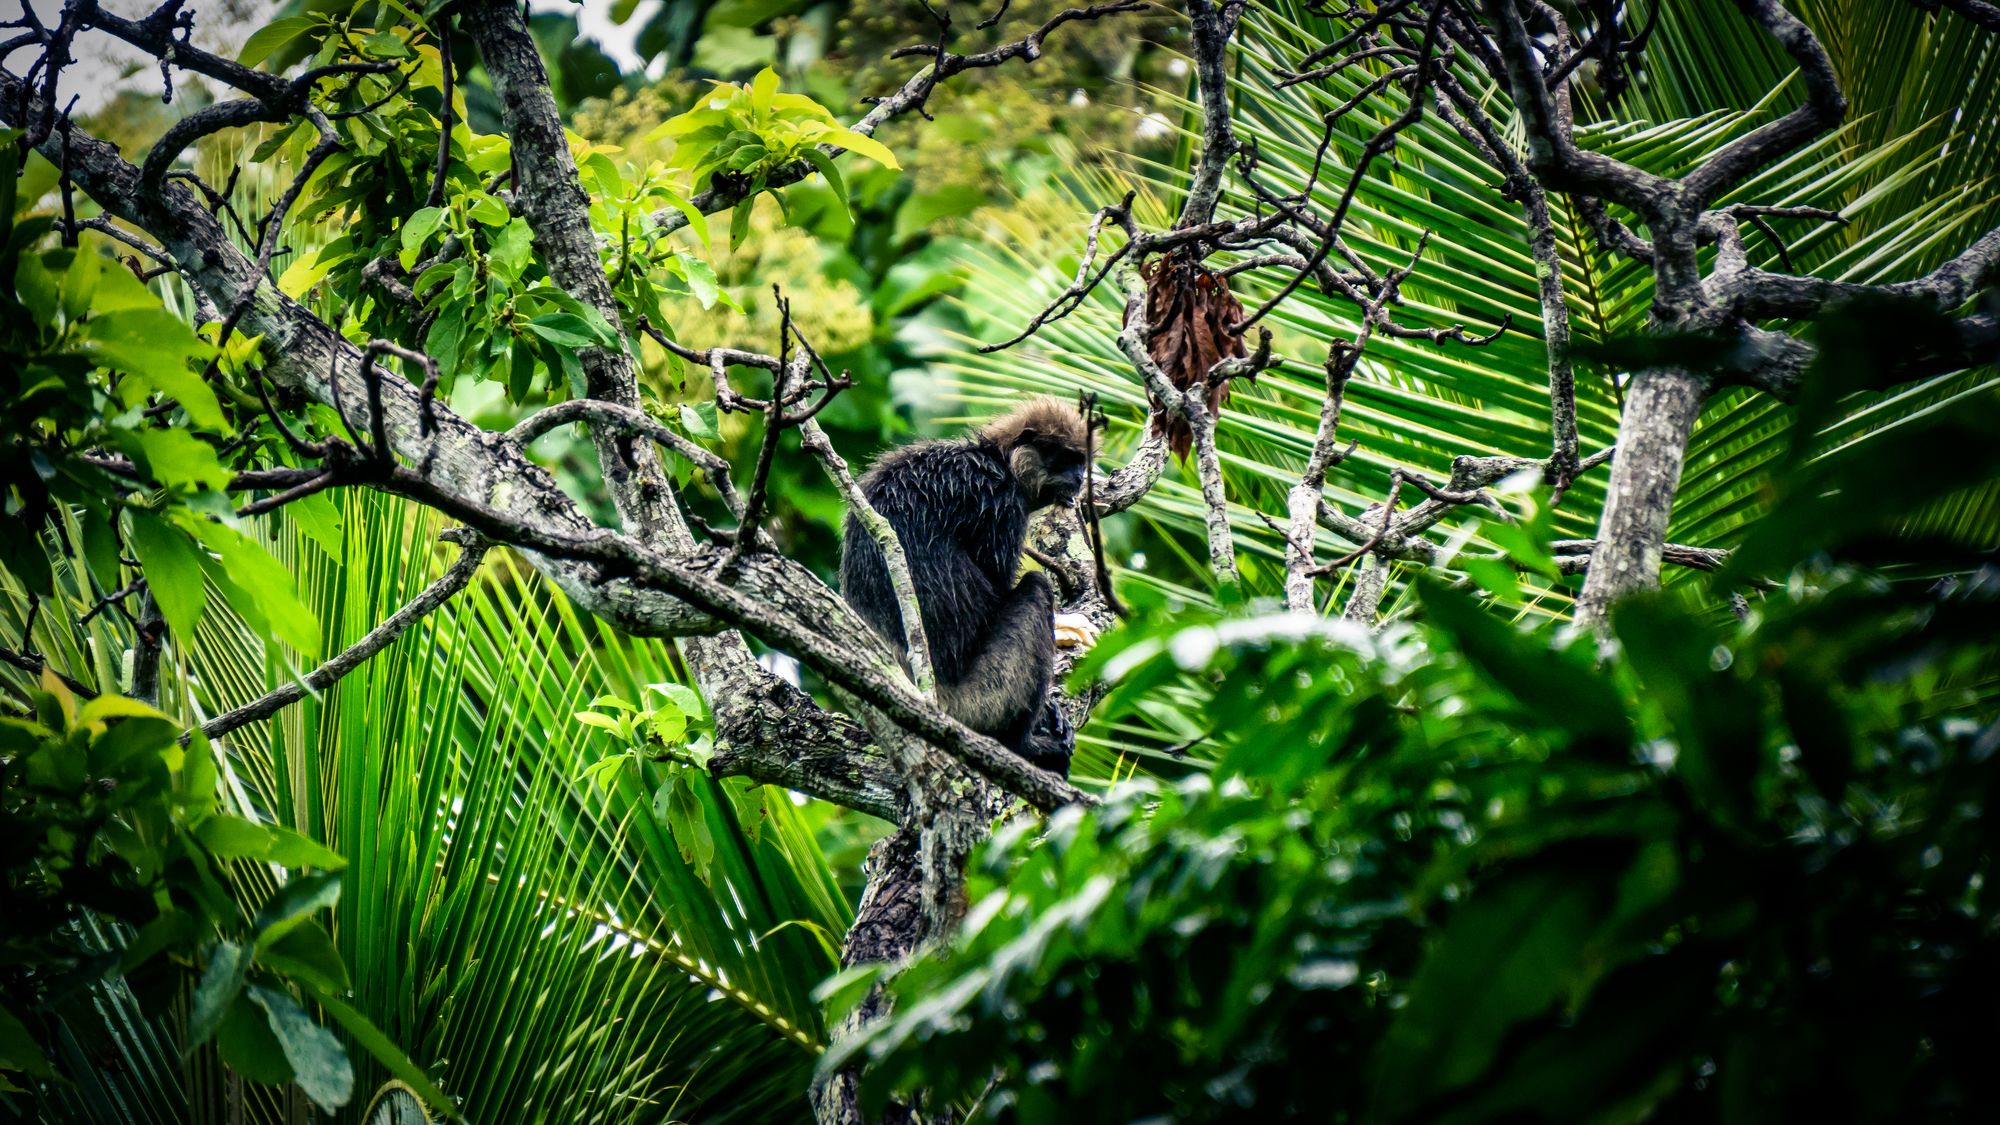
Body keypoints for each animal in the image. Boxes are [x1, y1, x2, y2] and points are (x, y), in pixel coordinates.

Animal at [840, 394, 1104, 768]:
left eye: (1081, 463)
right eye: (1067, 460)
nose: (1081, 478)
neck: (997, 460)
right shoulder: (998, 503)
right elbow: (998, 588)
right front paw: (1065, 628)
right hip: (979, 702)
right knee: (1036, 588)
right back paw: (1022, 745)